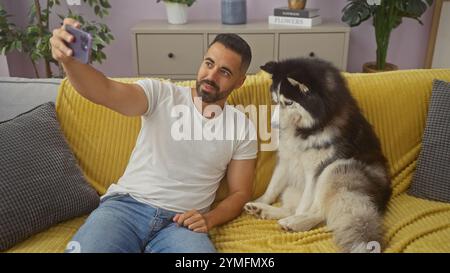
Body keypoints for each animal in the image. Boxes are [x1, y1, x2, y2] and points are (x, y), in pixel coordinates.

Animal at [244, 58, 392, 252]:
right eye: (275, 101)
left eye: (289, 103)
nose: (274, 125)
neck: (310, 127)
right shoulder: (286, 160)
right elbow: (272, 188)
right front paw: (262, 200)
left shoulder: (315, 170)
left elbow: (305, 205)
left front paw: (296, 225)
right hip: (295, 187)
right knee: (295, 208)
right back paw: (262, 209)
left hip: (336, 169)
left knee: (321, 212)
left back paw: (295, 223)